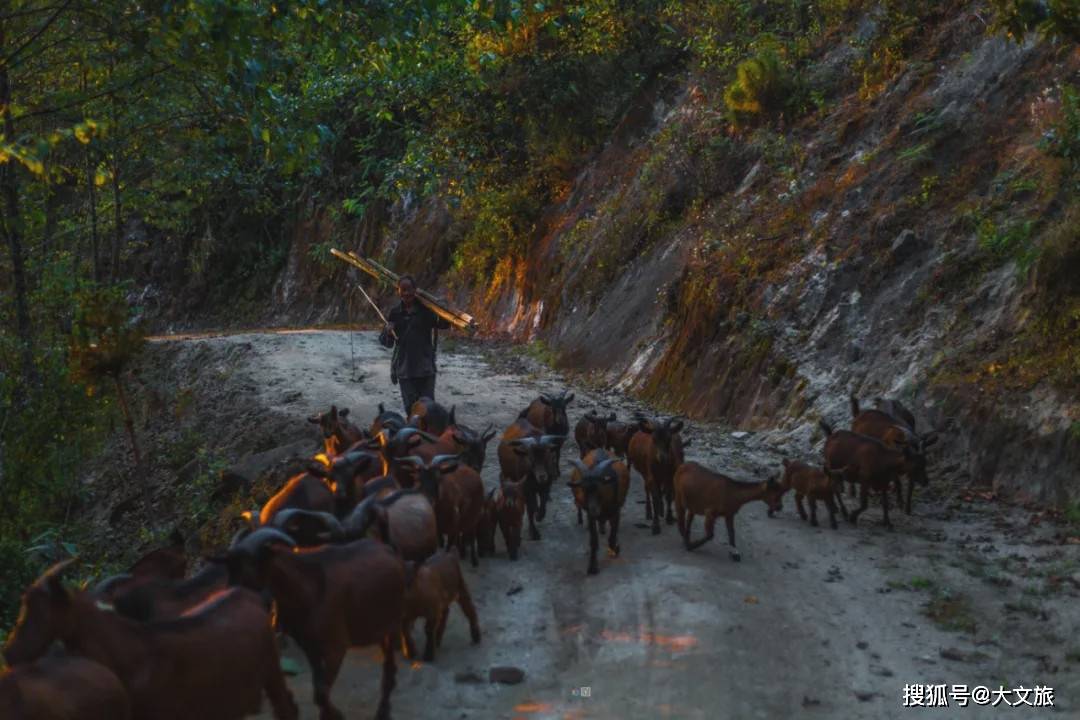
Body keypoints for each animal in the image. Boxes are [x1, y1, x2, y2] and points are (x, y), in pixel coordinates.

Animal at [222, 528, 406, 720]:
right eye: (230, 570)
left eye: (251, 565)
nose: (231, 599)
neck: (309, 589)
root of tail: (389, 549)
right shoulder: (310, 647)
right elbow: (318, 687)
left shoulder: (335, 648)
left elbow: (321, 692)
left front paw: (334, 714)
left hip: (391, 623)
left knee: (389, 668)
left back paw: (383, 710)